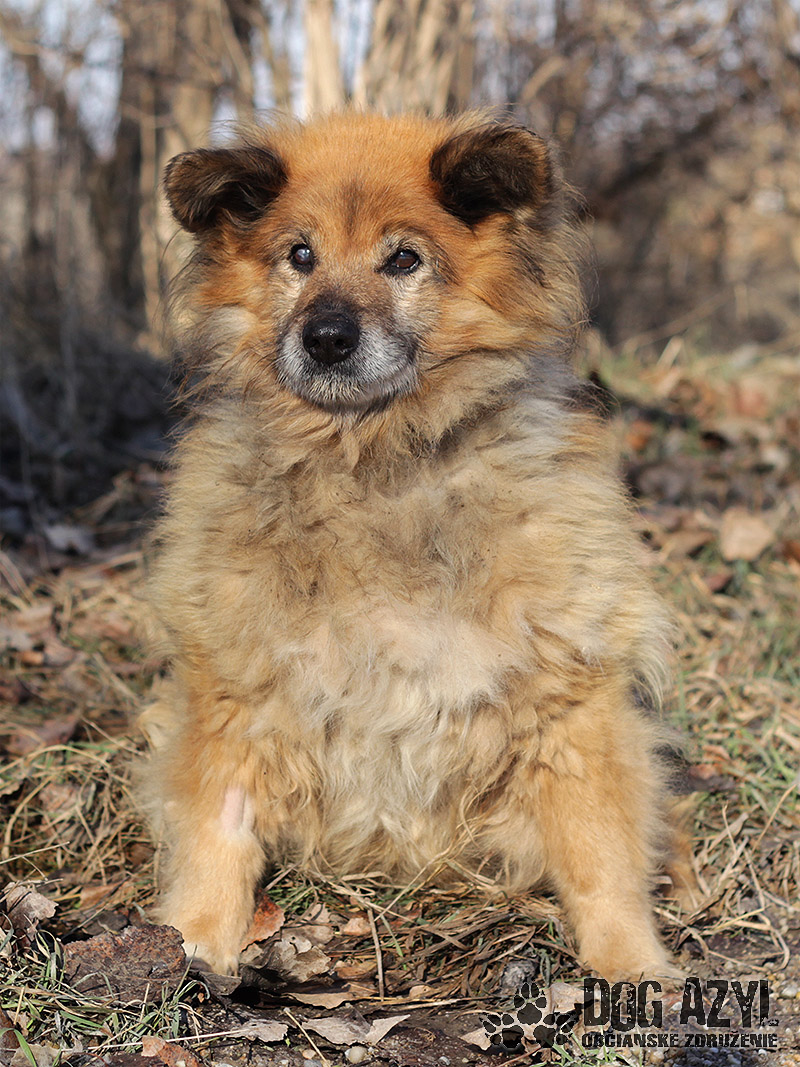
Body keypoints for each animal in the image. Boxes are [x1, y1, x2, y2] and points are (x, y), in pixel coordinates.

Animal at [139, 112, 691, 981]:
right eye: (300, 255)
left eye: (404, 259)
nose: (328, 337)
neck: (375, 459)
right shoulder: (235, 688)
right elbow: (216, 828)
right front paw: (196, 941)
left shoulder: (569, 701)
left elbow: (600, 850)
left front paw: (631, 966)